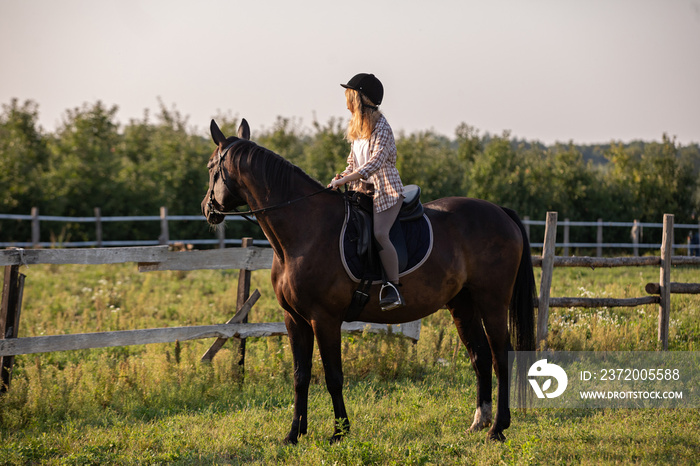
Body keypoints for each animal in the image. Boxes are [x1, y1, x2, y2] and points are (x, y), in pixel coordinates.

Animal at [202, 118, 536, 442]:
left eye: (210, 167)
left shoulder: (324, 319)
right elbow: (300, 376)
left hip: (492, 303)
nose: (207, 208)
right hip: (462, 304)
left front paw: (339, 432)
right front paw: (294, 434)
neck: (304, 231)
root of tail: (500, 212)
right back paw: (480, 422)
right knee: (480, 356)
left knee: (500, 356)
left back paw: (498, 428)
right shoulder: (294, 319)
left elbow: (333, 377)